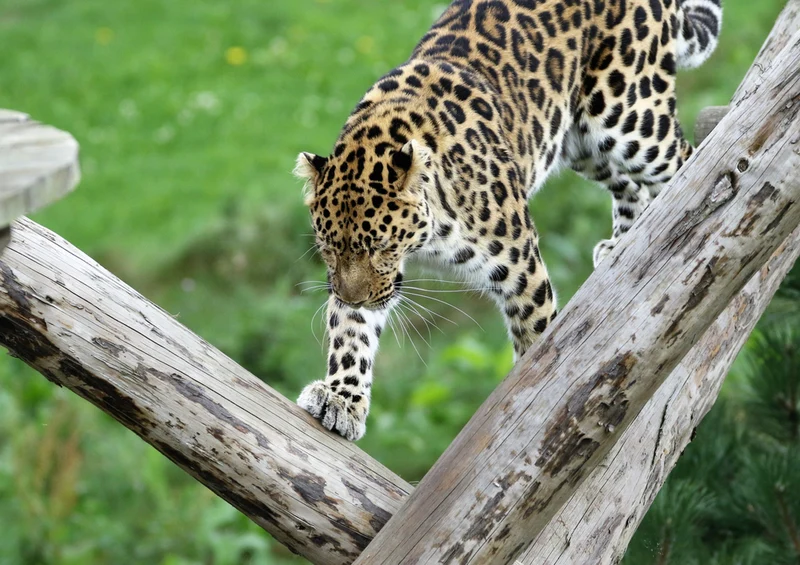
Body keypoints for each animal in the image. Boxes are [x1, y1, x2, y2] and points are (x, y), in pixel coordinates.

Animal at [294, 0, 722, 441]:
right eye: (328, 249)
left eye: (380, 247)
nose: (352, 297)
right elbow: (351, 333)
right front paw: (341, 399)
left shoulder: (519, 267)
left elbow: (537, 339)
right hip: (581, 142)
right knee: (630, 184)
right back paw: (627, 243)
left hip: (629, 117)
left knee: (686, 157)